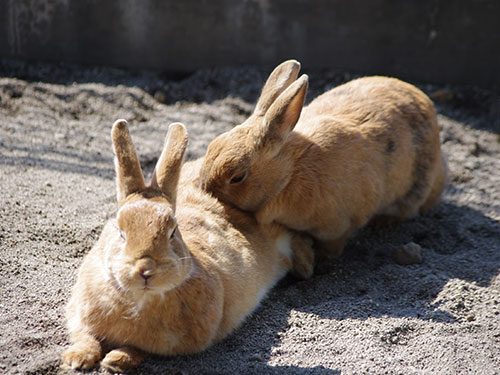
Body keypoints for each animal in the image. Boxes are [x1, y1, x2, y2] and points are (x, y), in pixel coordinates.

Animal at [61, 120, 312, 374]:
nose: (145, 270)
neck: (139, 298)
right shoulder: (76, 312)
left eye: (172, 231)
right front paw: (77, 358)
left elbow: (138, 349)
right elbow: (84, 335)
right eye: (120, 231)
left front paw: (116, 360)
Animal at [199, 60, 450, 260]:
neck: (290, 174)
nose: (205, 190)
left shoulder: (338, 226)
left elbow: (333, 246)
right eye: (210, 147)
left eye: (237, 177)